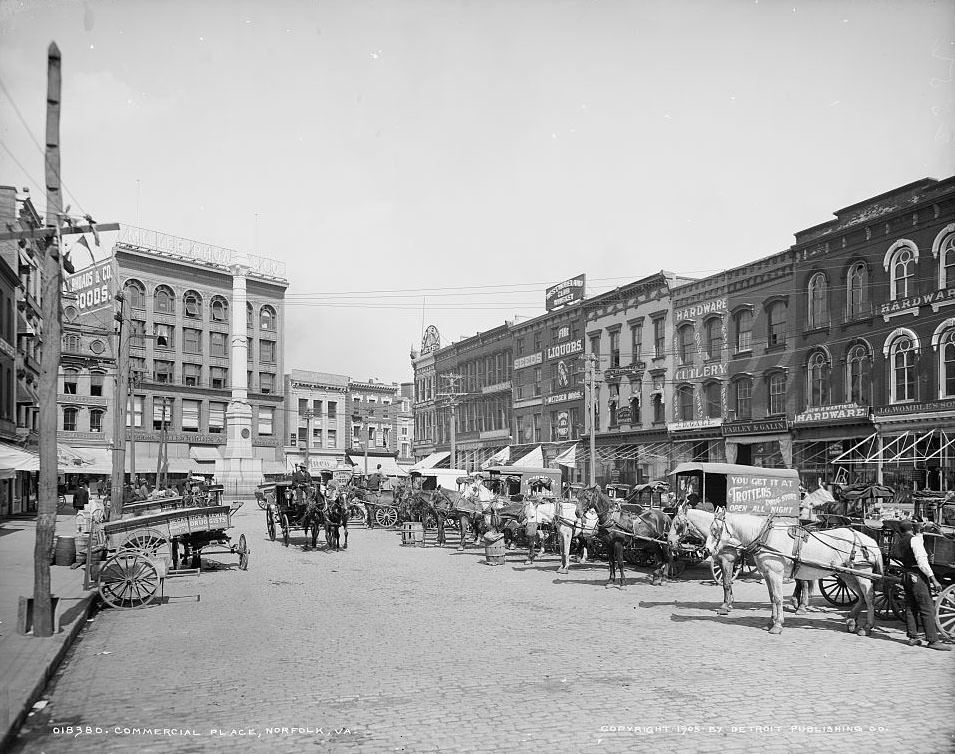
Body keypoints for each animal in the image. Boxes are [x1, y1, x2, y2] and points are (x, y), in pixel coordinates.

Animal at [708, 506, 880, 636]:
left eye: (715, 529)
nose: (708, 549)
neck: (766, 536)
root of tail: (870, 541)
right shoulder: (768, 575)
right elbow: (772, 598)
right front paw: (771, 621)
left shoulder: (775, 574)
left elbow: (778, 598)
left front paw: (777, 625)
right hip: (847, 575)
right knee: (861, 596)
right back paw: (851, 620)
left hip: (862, 574)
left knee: (869, 596)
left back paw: (867, 627)